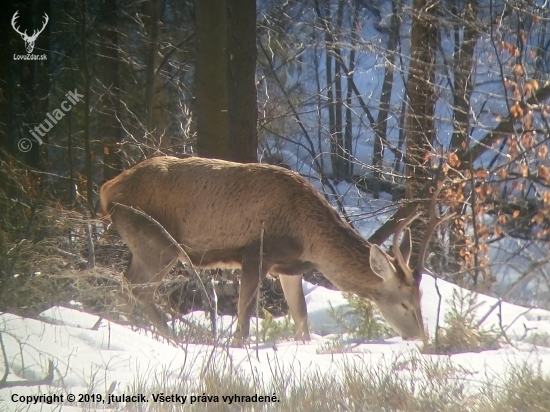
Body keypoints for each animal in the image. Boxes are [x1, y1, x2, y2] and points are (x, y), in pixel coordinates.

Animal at [100, 154, 452, 342]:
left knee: (125, 283)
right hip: (155, 243)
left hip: (144, 244)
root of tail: (107, 190)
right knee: (137, 287)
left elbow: (301, 318)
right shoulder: (255, 252)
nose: (421, 337)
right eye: (404, 303)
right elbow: (244, 319)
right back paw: (168, 337)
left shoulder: (290, 268)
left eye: (421, 297)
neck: (308, 238)